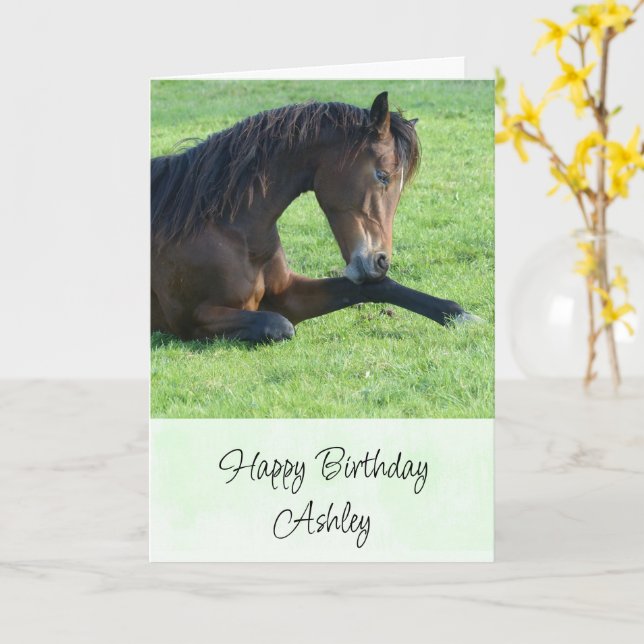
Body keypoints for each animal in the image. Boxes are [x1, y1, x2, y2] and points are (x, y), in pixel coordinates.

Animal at [151, 91, 478, 342]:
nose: (381, 261)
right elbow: (279, 325)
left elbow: (378, 287)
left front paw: (460, 315)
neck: (226, 228)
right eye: (382, 175)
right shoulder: (193, 319)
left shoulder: (288, 294)